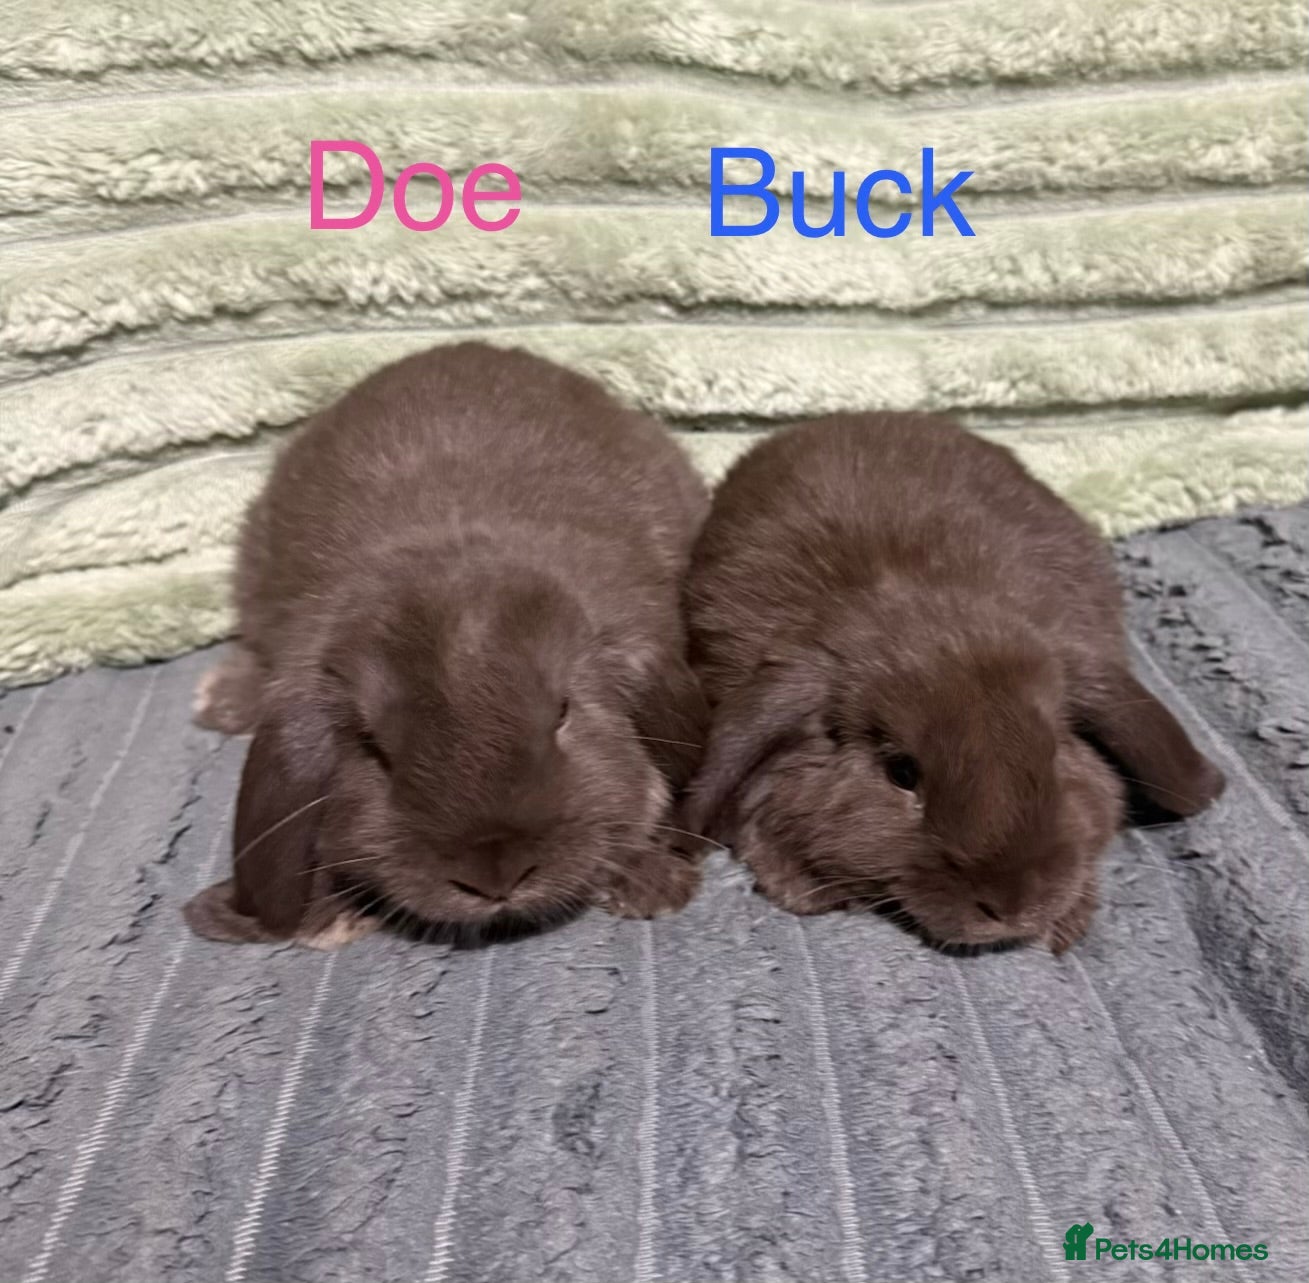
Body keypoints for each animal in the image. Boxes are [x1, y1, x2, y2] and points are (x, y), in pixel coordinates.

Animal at [185, 342, 710, 946]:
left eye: (563, 714)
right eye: (374, 748)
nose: (496, 876)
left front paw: (650, 887)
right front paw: (330, 918)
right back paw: (224, 701)